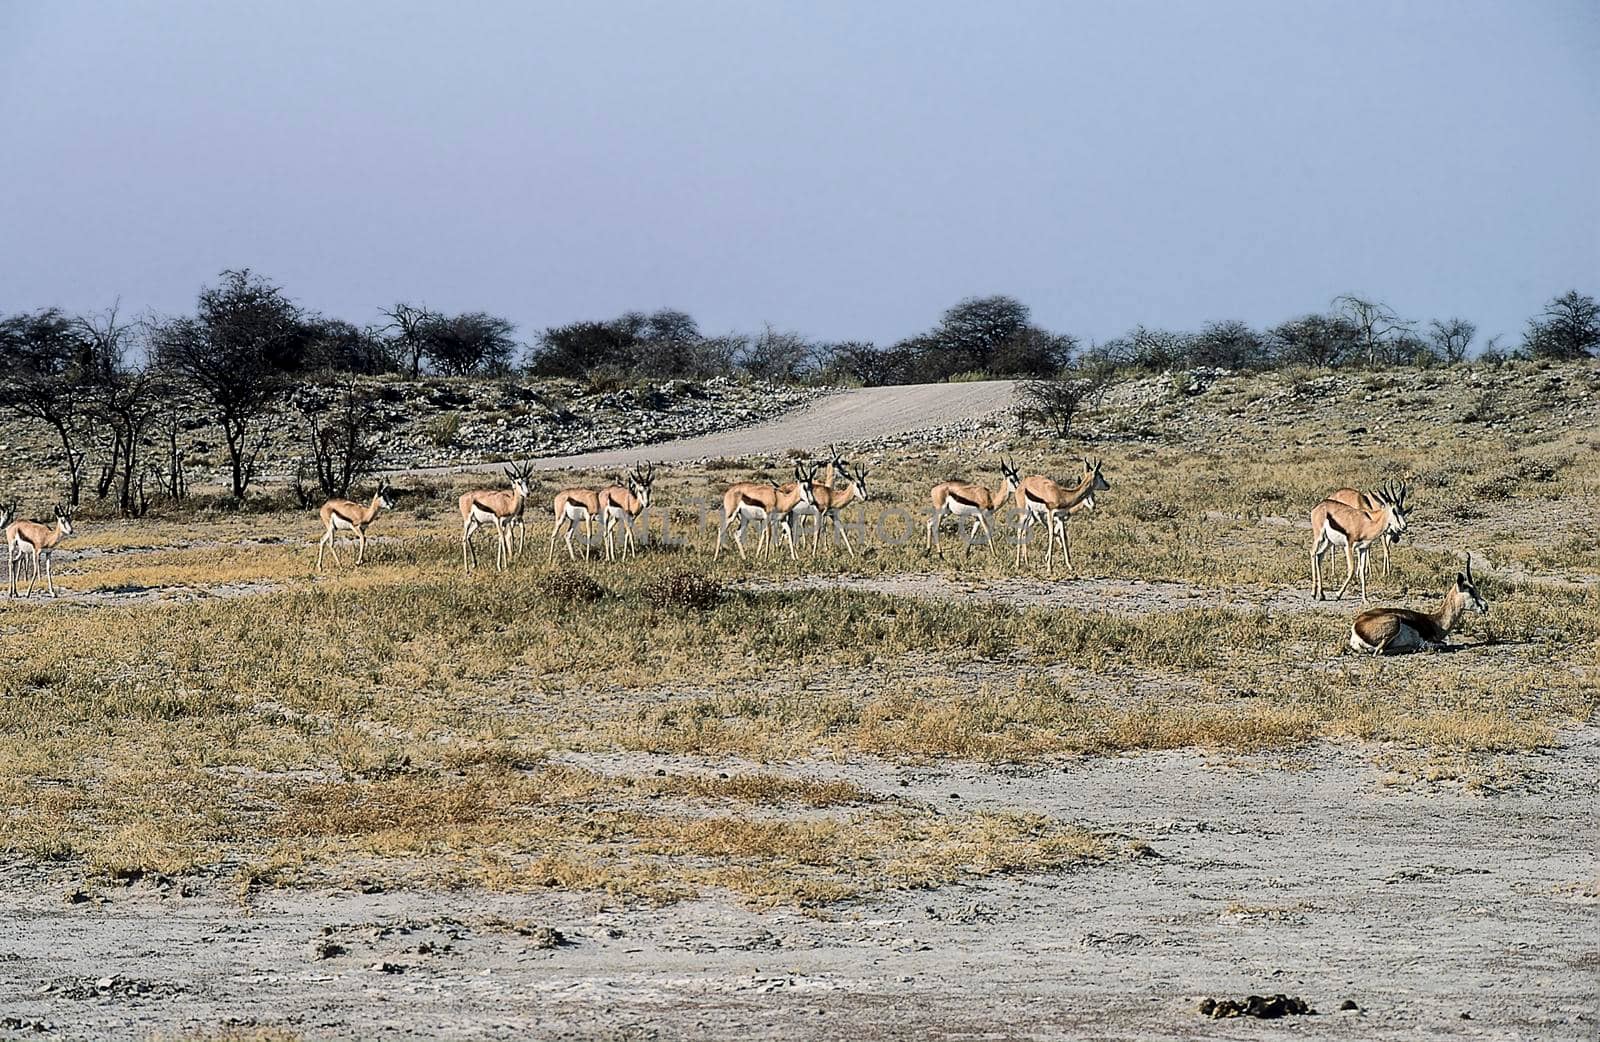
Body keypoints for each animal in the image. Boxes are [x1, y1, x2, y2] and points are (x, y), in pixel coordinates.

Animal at [1350, 553, 1484, 653]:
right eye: (1471, 591)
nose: (1485, 606)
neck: (1435, 622)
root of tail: (1356, 626)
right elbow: (1442, 644)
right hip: (1395, 621)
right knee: (1380, 651)